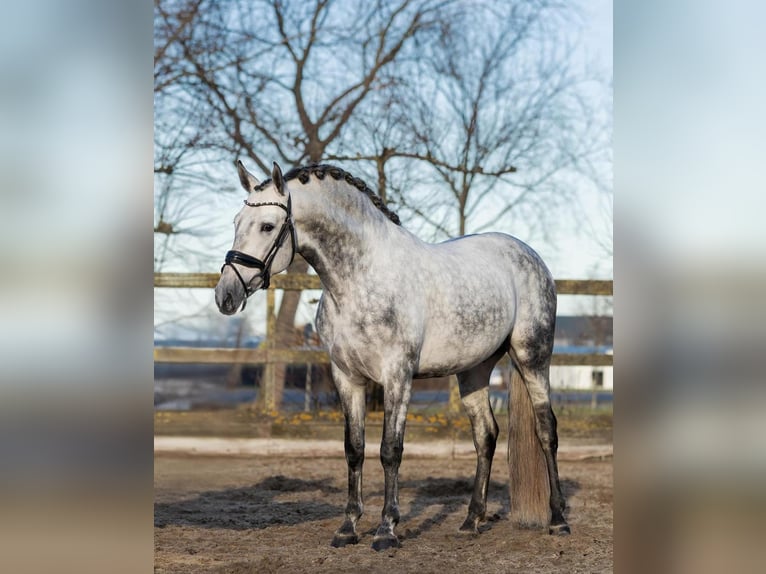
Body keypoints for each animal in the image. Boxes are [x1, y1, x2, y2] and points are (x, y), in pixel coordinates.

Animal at [215, 161, 570, 551]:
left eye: (267, 225)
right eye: (236, 222)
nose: (226, 295)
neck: (360, 281)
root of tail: (529, 255)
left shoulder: (397, 376)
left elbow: (390, 450)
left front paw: (386, 530)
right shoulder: (346, 378)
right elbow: (354, 449)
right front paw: (347, 528)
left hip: (532, 357)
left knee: (546, 429)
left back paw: (558, 519)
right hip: (474, 370)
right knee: (486, 435)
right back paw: (471, 520)